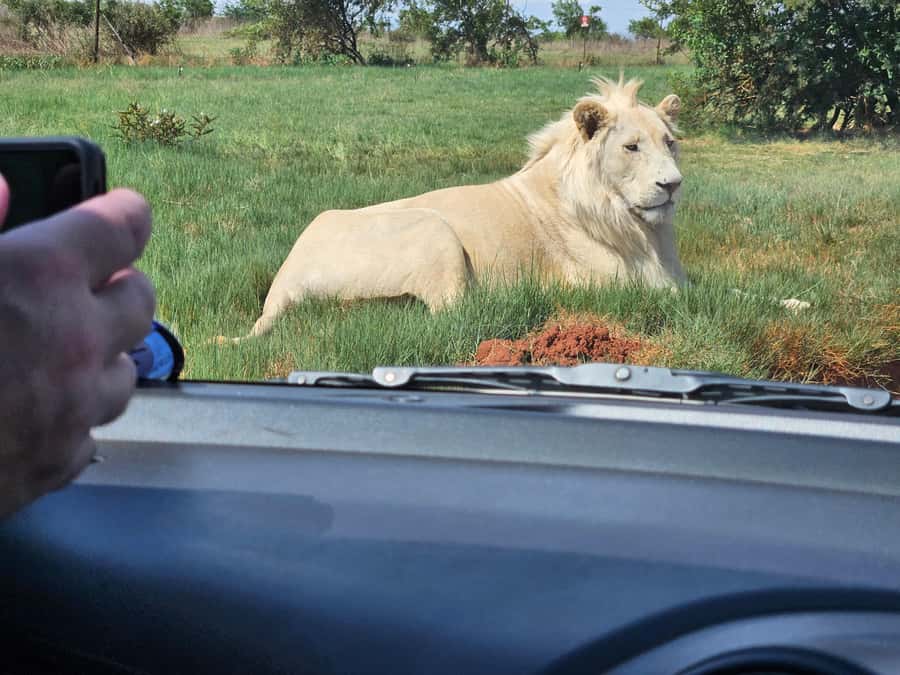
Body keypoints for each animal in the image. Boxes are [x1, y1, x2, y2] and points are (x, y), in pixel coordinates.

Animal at [240, 76, 686, 339]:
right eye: (631, 147)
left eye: (669, 143)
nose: (673, 185)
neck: (640, 229)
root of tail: (282, 282)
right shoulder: (610, 285)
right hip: (434, 231)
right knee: (453, 314)